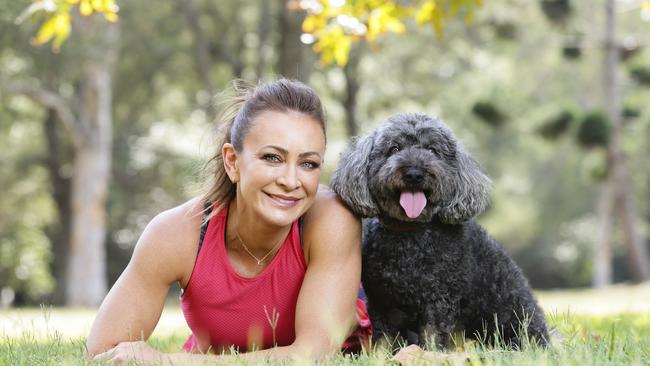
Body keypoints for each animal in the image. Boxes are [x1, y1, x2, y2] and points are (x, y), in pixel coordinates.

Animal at [330, 112, 548, 348]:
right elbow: (383, 340)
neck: (410, 232)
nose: (414, 173)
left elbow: (433, 336)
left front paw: (427, 353)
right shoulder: (382, 302)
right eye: (394, 148)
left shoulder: (439, 301)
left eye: (432, 150)